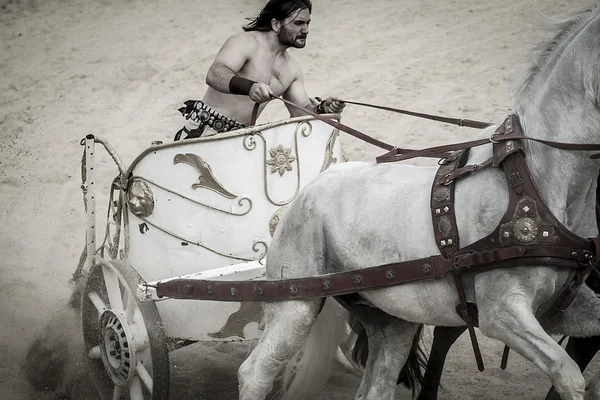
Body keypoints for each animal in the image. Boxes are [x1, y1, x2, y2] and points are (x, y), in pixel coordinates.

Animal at [237, 3, 600, 400]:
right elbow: (569, 374)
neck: (534, 179)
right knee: (255, 372)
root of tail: (308, 188)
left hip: (391, 319)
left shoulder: (562, 307)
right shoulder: (503, 312)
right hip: (295, 304)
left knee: (377, 385)